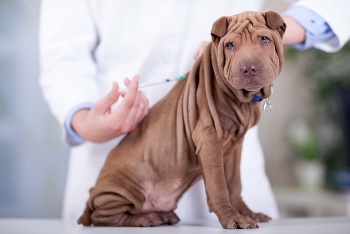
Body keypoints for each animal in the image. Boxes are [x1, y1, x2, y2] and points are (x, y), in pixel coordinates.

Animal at [78, 11, 286, 229]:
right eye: (229, 45)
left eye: (264, 39)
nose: (249, 68)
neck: (242, 99)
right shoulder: (209, 139)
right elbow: (218, 186)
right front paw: (232, 218)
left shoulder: (235, 146)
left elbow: (234, 184)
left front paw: (248, 213)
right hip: (122, 188)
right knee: (103, 216)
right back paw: (145, 218)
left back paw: (162, 215)